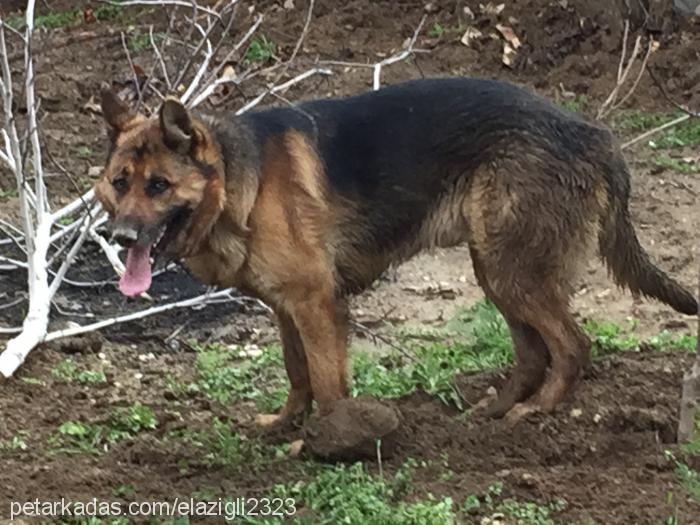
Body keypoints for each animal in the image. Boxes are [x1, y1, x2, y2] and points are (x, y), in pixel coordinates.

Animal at [95, 78, 696, 424]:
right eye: (120, 183)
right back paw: (495, 411)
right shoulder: (287, 307)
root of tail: (591, 132)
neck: (245, 181)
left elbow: (328, 382)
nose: (119, 237)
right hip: (496, 269)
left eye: (159, 187)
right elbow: (297, 373)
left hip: (513, 271)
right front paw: (286, 427)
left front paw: (324, 444)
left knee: (571, 346)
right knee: (533, 352)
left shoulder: (316, 305)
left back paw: (535, 411)